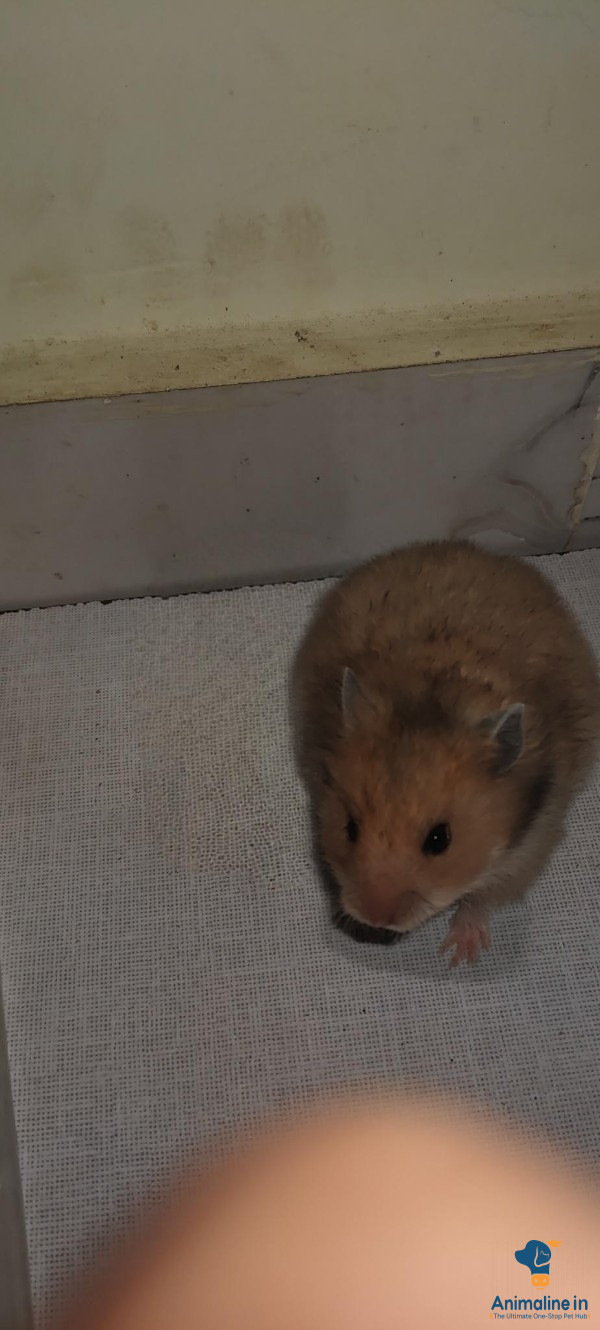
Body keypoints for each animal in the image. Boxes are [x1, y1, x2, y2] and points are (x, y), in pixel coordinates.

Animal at [293, 540, 600, 964]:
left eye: (440, 840)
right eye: (349, 828)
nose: (375, 917)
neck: (433, 696)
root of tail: (470, 547)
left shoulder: (530, 848)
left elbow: (482, 898)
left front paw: (459, 956)